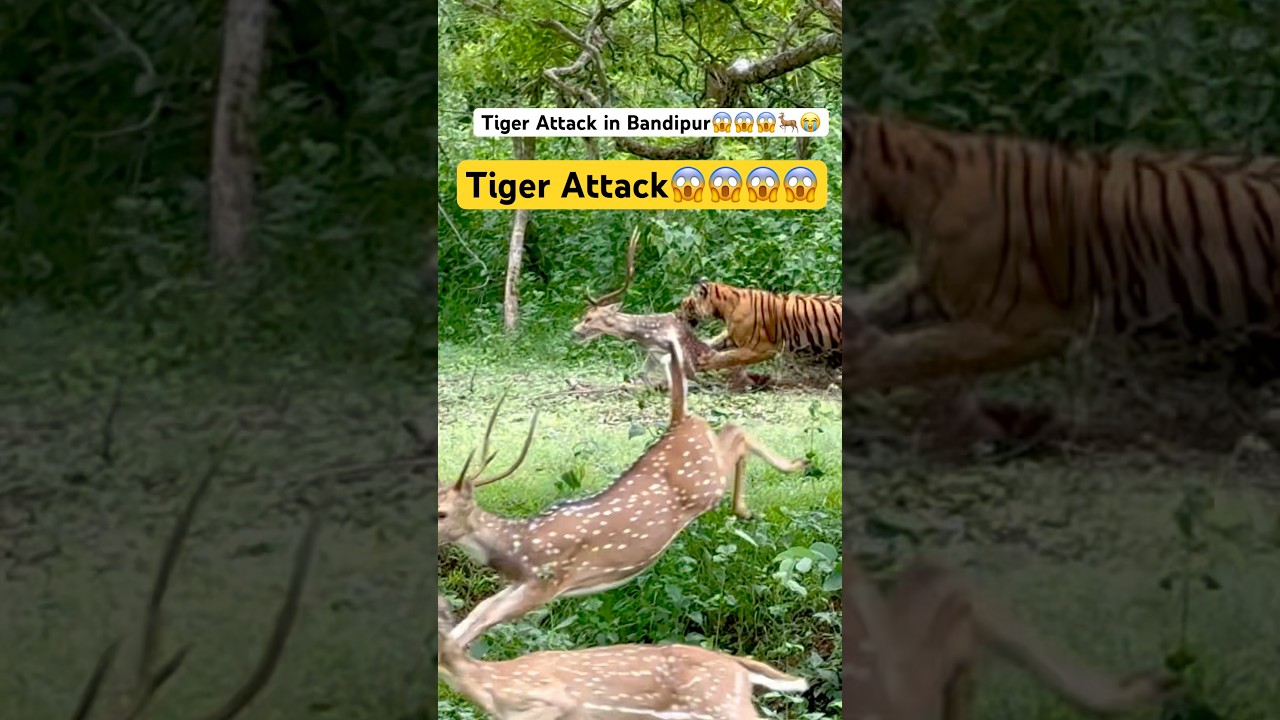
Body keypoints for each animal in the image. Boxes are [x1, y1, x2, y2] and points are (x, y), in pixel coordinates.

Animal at [438, 327, 807, 650]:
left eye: (441, 513)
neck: (516, 547)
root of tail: (678, 422)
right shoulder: (521, 584)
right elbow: (477, 613)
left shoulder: (549, 580)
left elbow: (485, 618)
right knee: (730, 429)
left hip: (704, 483)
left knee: (736, 432)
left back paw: (786, 473)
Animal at [676, 279, 843, 379]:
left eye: (684, 304)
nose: (676, 315)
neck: (724, 308)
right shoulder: (732, 334)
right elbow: (713, 342)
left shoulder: (763, 349)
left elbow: (729, 357)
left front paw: (701, 363)